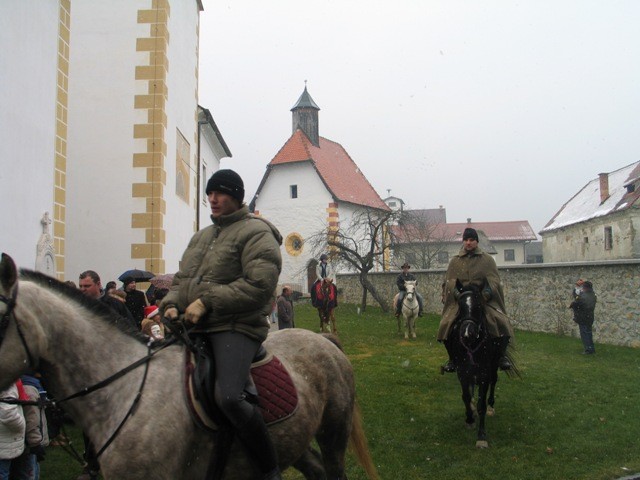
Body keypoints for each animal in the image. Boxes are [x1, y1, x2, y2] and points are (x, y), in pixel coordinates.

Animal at [448, 280, 516, 448]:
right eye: (460, 305)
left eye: (478, 304)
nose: (467, 333)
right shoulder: (462, 373)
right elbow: (466, 397)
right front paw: (469, 419)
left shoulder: (484, 374)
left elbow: (481, 405)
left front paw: (481, 436)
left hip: (494, 367)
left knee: (494, 382)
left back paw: (491, 406)